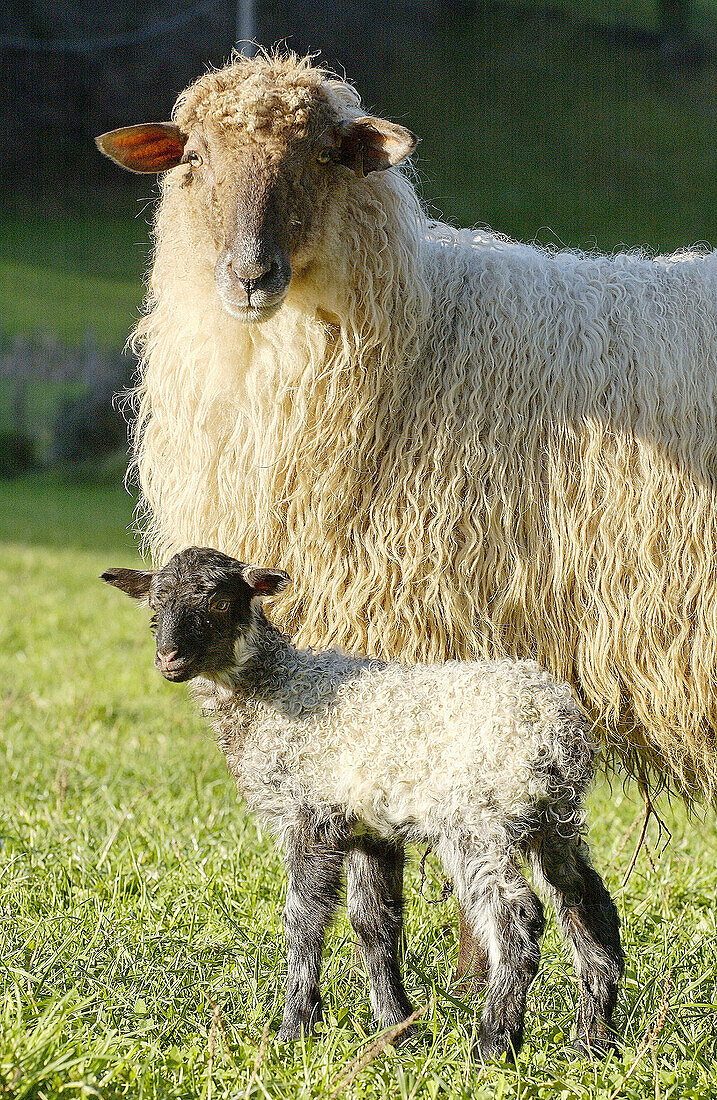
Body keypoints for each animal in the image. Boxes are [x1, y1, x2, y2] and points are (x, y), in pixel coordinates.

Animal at [100, 545, 620, 1060]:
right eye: (155, 611)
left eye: (221, 602)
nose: (168, 658)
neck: (275, 689)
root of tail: (558, 724)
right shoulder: (369, 829)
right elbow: (375, 924)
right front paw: (395, 1030)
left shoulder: (309, 814)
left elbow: (303, 920)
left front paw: (295, 1028)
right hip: (551, 817)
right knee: (587, 902)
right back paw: (593, 1039)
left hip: (479, 817)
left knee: (519, 918)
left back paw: (493, 1044)